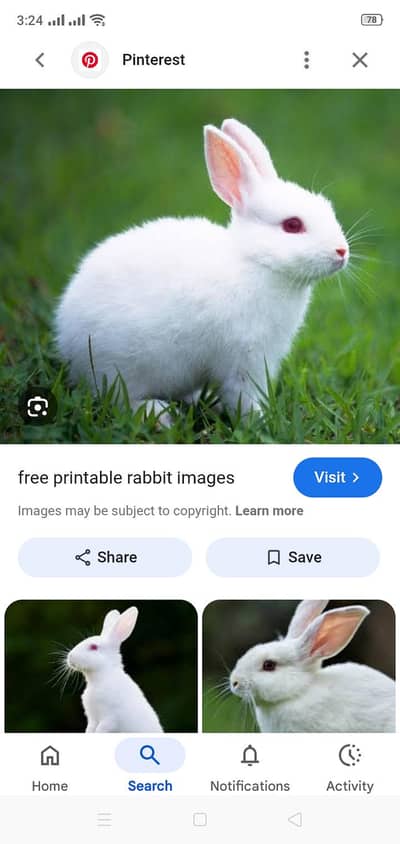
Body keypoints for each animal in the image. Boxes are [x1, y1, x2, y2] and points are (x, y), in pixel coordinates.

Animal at [55, 118, 349, 420]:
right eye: (293, 225)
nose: (342, 251)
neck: (255, 262)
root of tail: (67, 339)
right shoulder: (245, 359)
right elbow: (243, 395)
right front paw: (260, 419)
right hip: (121, 367)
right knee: (119, 398)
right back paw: (160, 415)